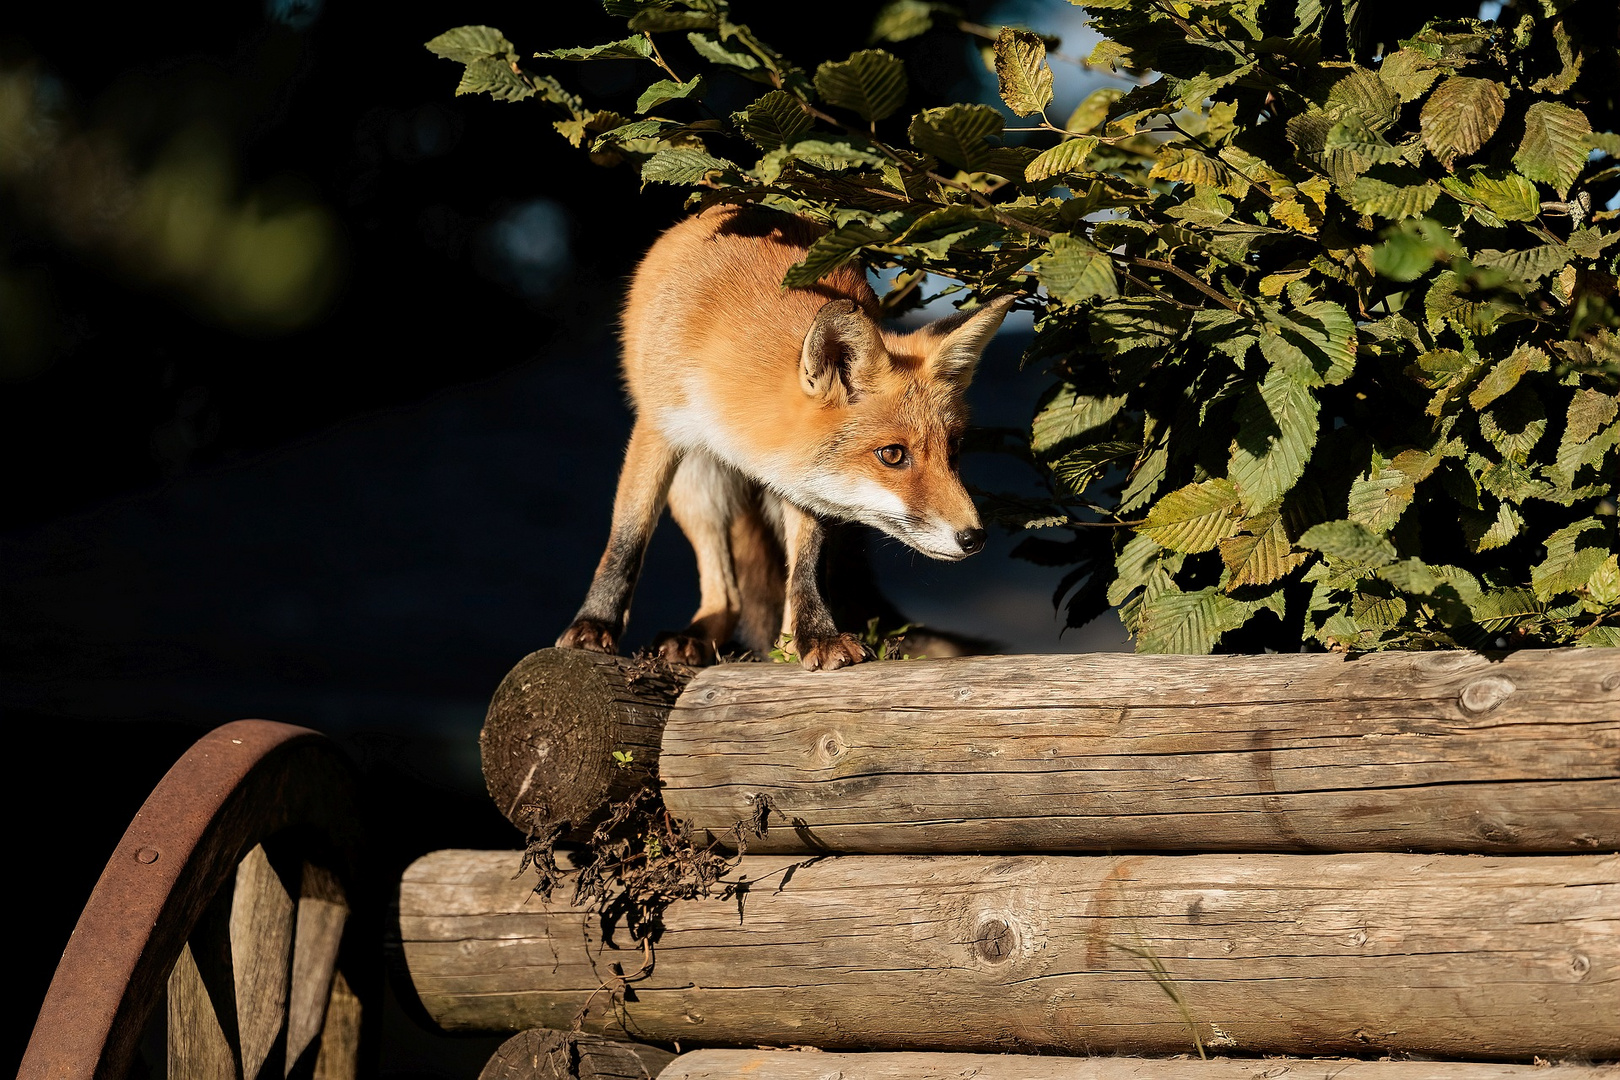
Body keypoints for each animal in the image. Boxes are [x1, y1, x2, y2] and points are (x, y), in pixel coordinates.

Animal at [557, 204, 1010, 667]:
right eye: (892, 454)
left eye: (954, 450)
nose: (974, 538)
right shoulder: (658, 426)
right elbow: (627, 537)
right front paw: (594, 625)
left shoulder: (801, 478)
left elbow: (806, 566)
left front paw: (818, 637)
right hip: (699, 482)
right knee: (725, 593)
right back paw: (698, 637)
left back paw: (787, 648)